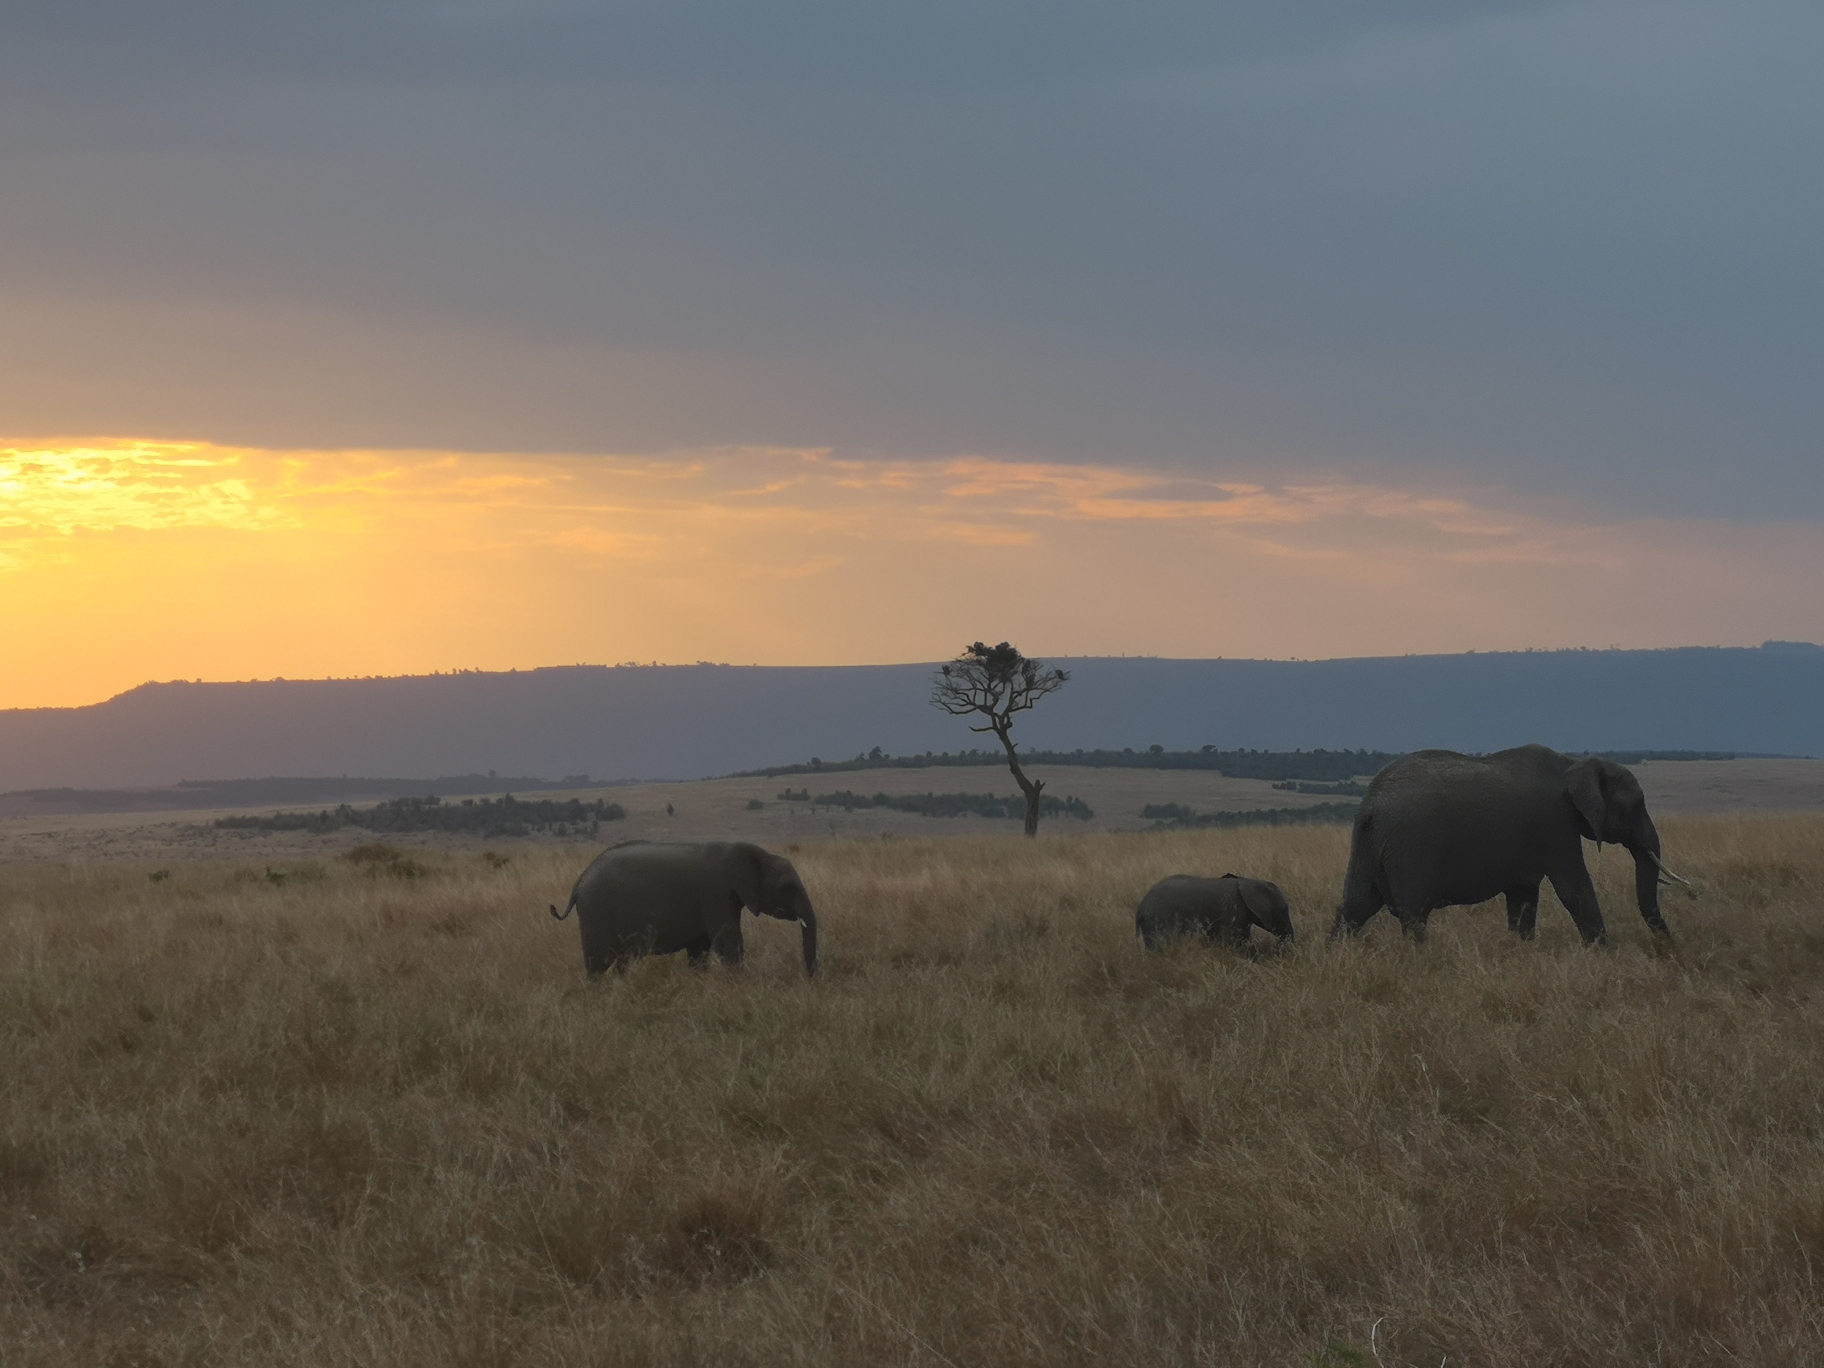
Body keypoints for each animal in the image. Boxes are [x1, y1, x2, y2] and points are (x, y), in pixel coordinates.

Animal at [547, 842, 820, 977]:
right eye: (787, 888)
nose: (809, 978)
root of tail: (579, 882)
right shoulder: (716, 895)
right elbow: (729, 944)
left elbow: (699, 950)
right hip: (596, 912)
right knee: (599, 963)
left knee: (619, 962)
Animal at [1130, 879, 1291, 955]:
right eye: (1284, 910)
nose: (1279, 950)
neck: (1250, 881)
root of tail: (1140, 910)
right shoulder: (1233, 911)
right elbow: (1237, 941)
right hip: (1157, 923)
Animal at [1327, 744, 1692, 948]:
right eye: (1636, 804)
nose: (1669, 946)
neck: (1573, 764)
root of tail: (1370, 805)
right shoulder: (1555, 821)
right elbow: (1573, 888)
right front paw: (1603, 953)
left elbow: (1523, 897)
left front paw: (1521, 952)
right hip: (1409, 848)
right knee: (1412, 914)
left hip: (1366, 844)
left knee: (1355, 907)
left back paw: (1336, 959)